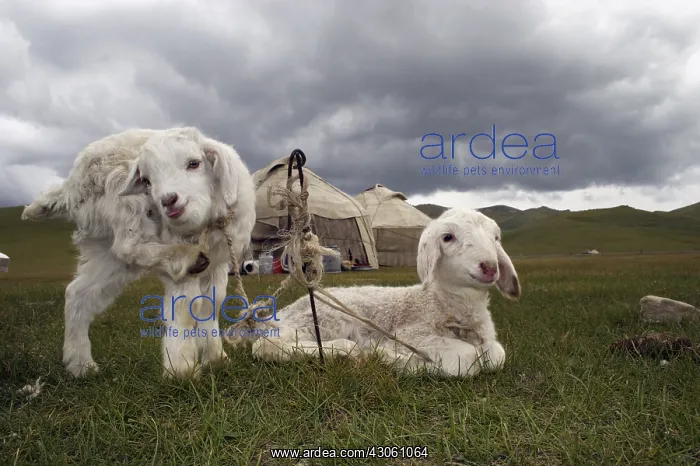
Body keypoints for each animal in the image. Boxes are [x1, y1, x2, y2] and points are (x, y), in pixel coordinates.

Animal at [21, 127, 256, 379]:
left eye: (194, 163)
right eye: (147, 180)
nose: (168, 201)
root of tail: (70, 187)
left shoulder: (220, 264)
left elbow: (211, 303)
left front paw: (215, 358)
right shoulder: (181, 263)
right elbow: (184, 305)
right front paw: (181, 368)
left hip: (104, 248)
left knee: (78, 293)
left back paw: (80, 365)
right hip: (123, 203)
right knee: (128, 247)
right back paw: (186, 257)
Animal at [249, 207, 521, 377]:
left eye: (496, 237)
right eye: (448, 237)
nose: (489, 267)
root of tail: (279, 314)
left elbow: (497, 356)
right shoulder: (412, 334)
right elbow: (468, 359)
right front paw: (390, 357)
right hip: (320, 321)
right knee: (266, 345)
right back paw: (345, 350)